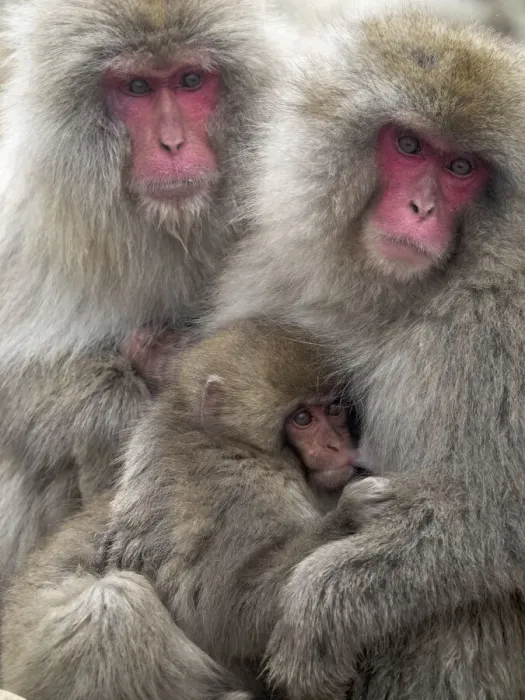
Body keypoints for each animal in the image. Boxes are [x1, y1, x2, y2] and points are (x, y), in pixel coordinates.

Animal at [0, 0, 279, 587]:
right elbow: (16, 383)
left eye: (190, 80)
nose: (172, 145)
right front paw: (121, 413)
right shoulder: (28, 217)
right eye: (136, 87)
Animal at [1, 320, 391, 700]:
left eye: (334, 409)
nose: (337, 445)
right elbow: (226, 614)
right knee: (113, 604)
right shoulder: (234, 491)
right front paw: (347, 516)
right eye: (303, 418)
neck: (229, 440)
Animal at [207, 8, 525, 700]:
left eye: (462, 167)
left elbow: (497, 515)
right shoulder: (278, 277)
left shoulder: (504, 323)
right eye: (408, 146)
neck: (395, 292)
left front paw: (320, 606)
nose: (420, 208)